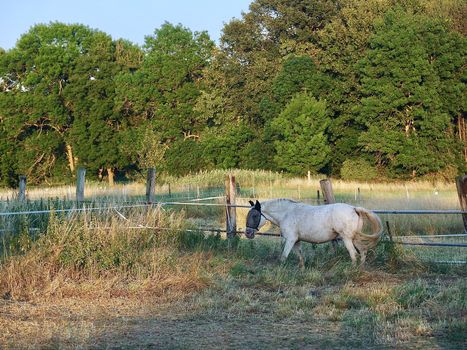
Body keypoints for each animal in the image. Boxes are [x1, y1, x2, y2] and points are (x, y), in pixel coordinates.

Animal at [245, 200, 384, 268]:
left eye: (255, 215)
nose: (247, 233)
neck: (287, 213)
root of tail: (354, 208)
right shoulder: (296, 240)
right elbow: (300, 256)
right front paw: (302, 268)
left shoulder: (290, 239)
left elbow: (283, 256)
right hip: (354, 238)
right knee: (363, 252)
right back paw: (361, 268)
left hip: (347, 238)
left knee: (354, 254)